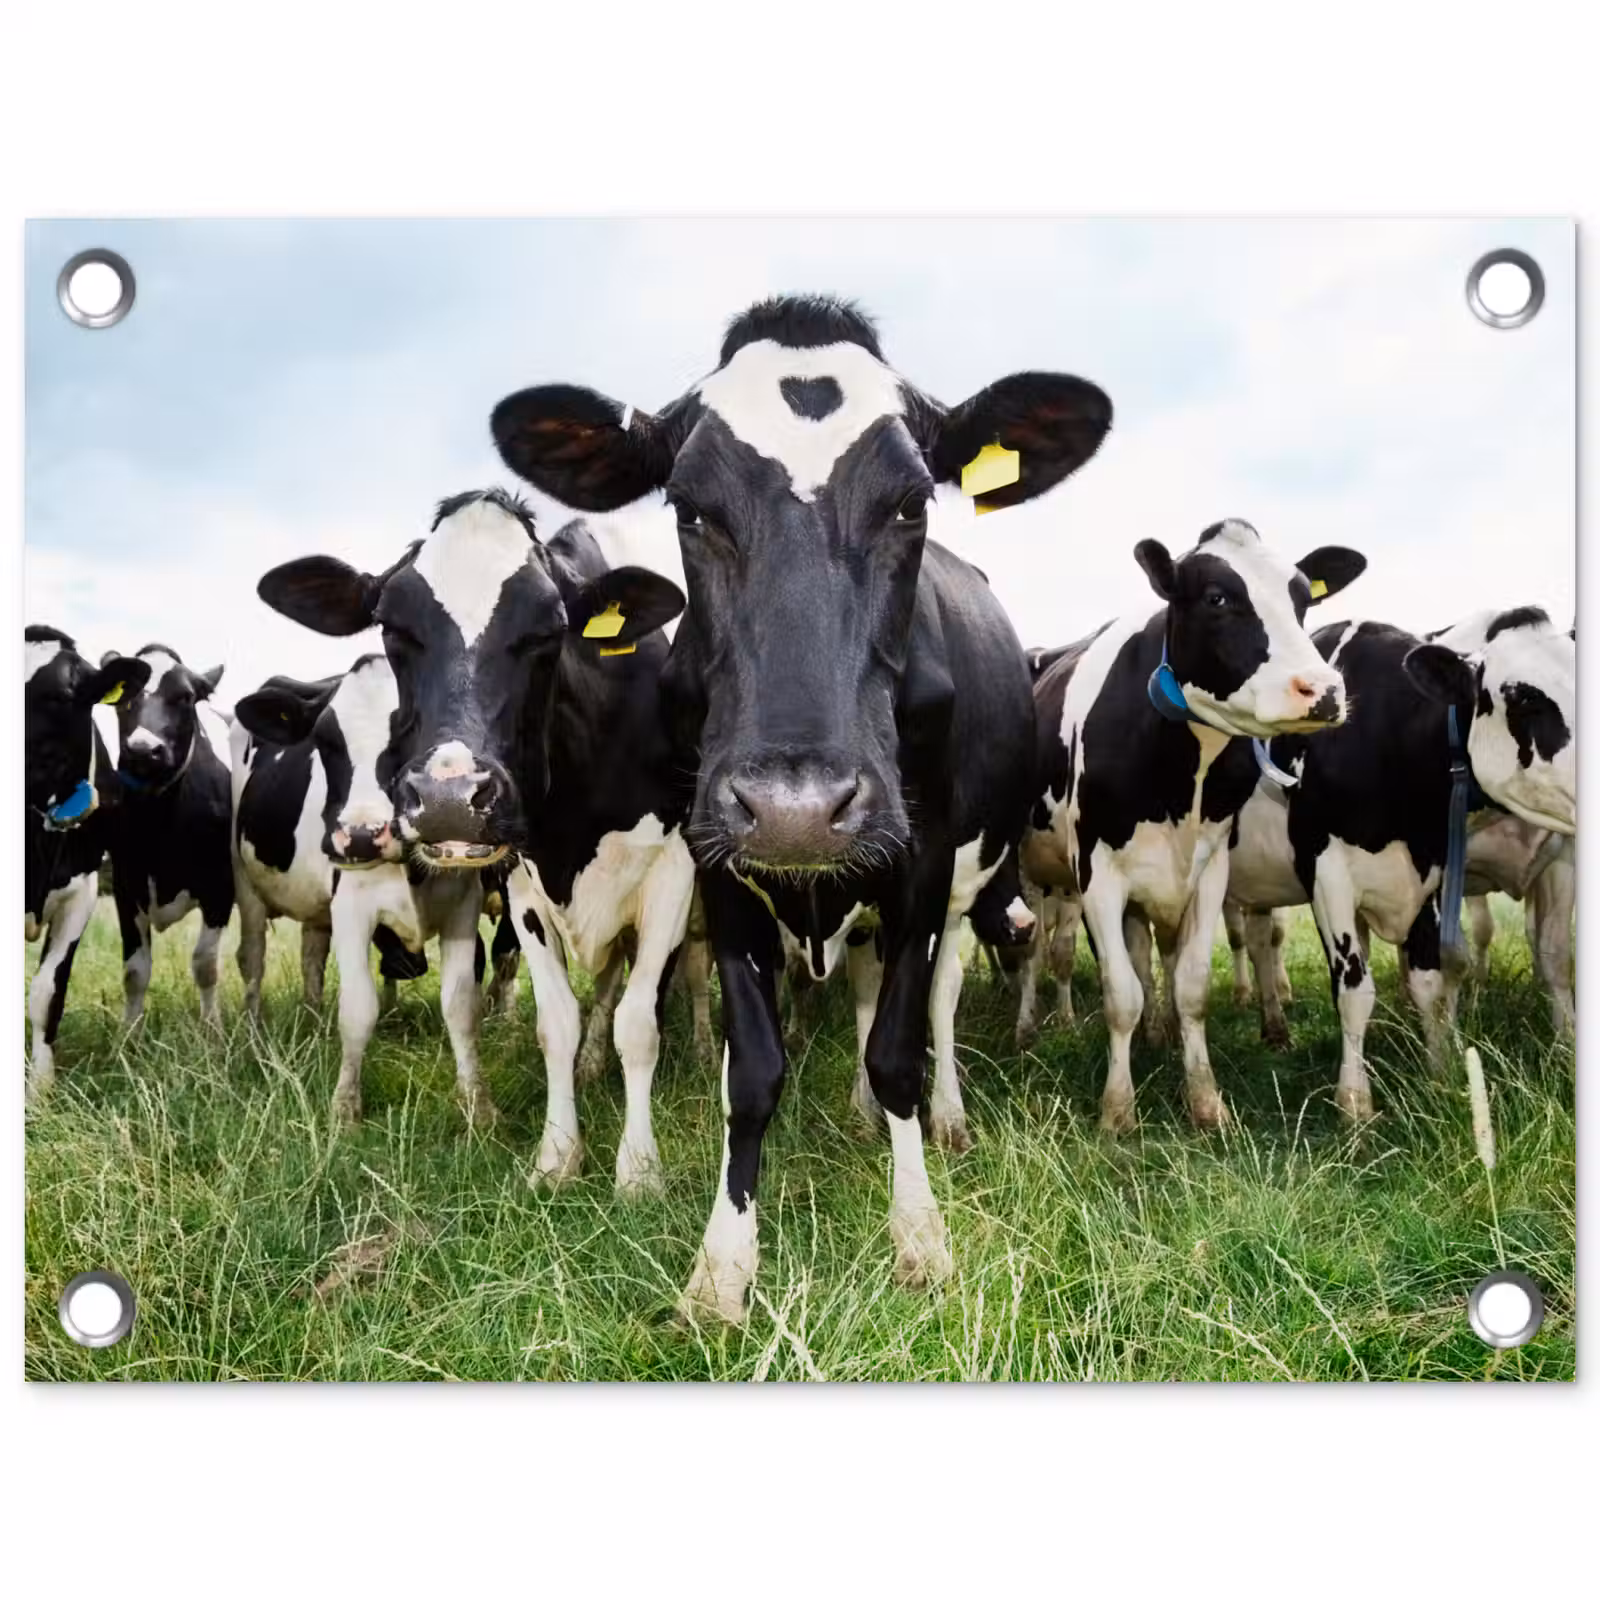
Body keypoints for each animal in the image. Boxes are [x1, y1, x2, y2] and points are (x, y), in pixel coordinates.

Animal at [103, 644, 234, 1030]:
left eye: (186, 696)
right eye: (122, 695)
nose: (143, 750)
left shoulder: (221, 886)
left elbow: (205, 964)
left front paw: (212, 1030)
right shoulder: (125, 884)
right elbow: (134, 971)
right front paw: (129, 1034)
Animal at [232, 652, 497, 1126]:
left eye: (412, 730)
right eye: (325, 740)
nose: (359, 836)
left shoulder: (463, 905)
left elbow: (461, 1006)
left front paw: (477, 1106)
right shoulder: (352, 907)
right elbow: (358, 1010)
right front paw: (345, 1110)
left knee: (311, 956)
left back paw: (314, 1022)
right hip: (246, 882)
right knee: (253, 958)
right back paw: (254, 1036)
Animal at [487, 293, 1112, 1321]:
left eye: (912, 502)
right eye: (690, 507)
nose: (796, 809)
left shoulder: (921, 863)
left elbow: (898, 1049)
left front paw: (920, 1235)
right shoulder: (716, 863)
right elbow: (752, 1069)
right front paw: (723, 1265)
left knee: (933, 1002)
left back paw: (938, 1118)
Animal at [1021, 520, 1366, 1134]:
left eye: (1303, 599)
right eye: (1216, 598)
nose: (1323, 690)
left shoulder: (1207, 871)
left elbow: (1191, 986)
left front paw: (1205, 1101)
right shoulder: (1097, 874)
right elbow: (1120, 995)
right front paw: (1118, 1112)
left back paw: (1156, 1035)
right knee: (1035, 950)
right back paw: (1030, 1025)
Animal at [1226, 605, 1575, 1119]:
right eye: (1525, 698)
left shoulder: (1437, 872)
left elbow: (1438, 977)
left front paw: (1441, 1075)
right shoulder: (1325, 872)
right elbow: (1355, 991)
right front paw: (1355, 1105)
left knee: (1259, 937)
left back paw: (1274, 1027)